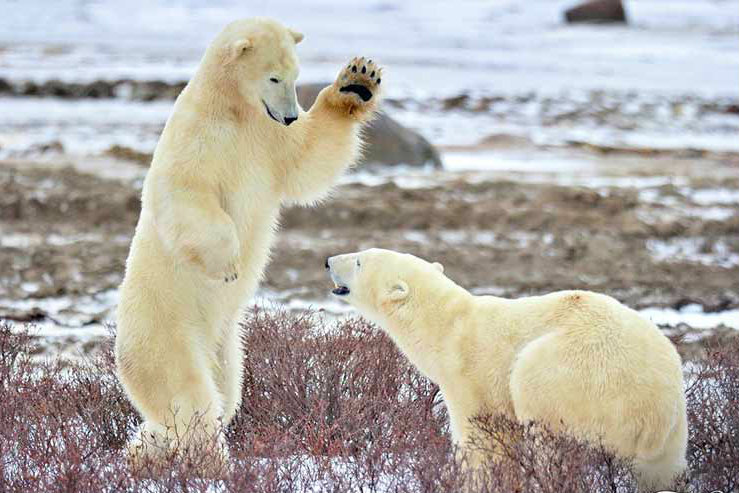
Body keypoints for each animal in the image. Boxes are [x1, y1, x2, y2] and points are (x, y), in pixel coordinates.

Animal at [115, 17, 384, 468]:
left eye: (295, 76)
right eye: (273, 76)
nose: (290, 115)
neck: (234, 110)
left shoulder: (268, 138)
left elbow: (309, 159)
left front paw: (358, 80)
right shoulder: (197, 139)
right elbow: (184, 192)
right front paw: (229, 265)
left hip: (228, 348)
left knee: (225, 395)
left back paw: (151, 448)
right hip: (166, 332)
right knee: (189, 398)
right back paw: (210, 461)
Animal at [326, 248, 692, 490]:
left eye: (359, 261)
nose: (328, 260)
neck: (446, 324)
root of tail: (653, 417)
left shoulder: (468, 375)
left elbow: (479, 440)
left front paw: (472, 479)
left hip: (574, 375)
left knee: (540, 413)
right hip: (674, 423)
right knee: (664, 469)